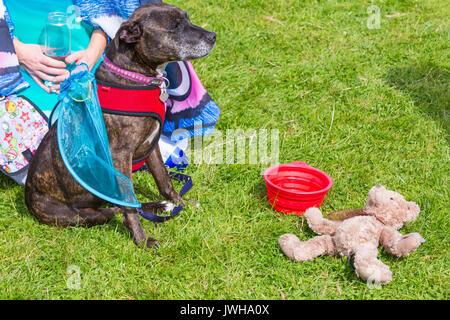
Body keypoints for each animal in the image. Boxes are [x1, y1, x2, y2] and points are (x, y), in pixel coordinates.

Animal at [23, 3, 217, 248]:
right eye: (174, 27)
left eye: (188, 19)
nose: (213, 36)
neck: (135, 74)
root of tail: (28, 198)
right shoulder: (120, 156)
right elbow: (129, 206)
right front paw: (142, 240)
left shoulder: (151, 146)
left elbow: (164, 180)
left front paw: (181, 203)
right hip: (78, 216)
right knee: (112, 210)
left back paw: (158, 206)